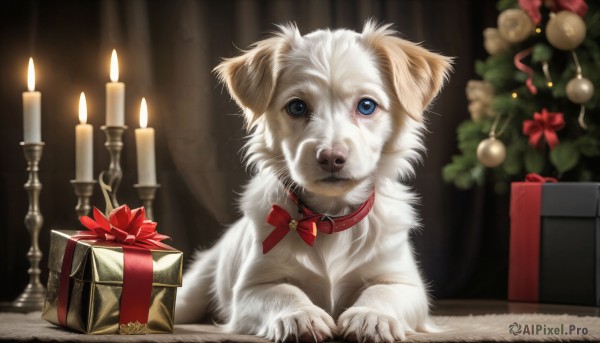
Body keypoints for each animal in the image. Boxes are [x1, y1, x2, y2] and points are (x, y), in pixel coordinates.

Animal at [176, 22, 452, 343]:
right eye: (297, 107)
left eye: (366, 106)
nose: (331, 157)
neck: (327, 217)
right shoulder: (252, 288)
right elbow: (284, 292)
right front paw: (300, 316)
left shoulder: (404, 282)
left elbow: (382, 292)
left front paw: (370, 316)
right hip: (194, 288)